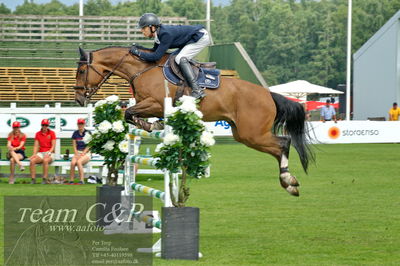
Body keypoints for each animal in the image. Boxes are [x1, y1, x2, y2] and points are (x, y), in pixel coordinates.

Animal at [73, 46, 314, 195]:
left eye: (82, 70)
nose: (78, 99)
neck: (142, 69)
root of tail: (268, 94)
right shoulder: (147, 104)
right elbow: (130, 113)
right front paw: (154, 124)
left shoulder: (156, 103)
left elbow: (129, 113)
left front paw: (151, 125)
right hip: (245, 134)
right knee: (278, 148)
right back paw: (289, 183)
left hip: (252, 133)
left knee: (284, 143)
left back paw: (288, 181)